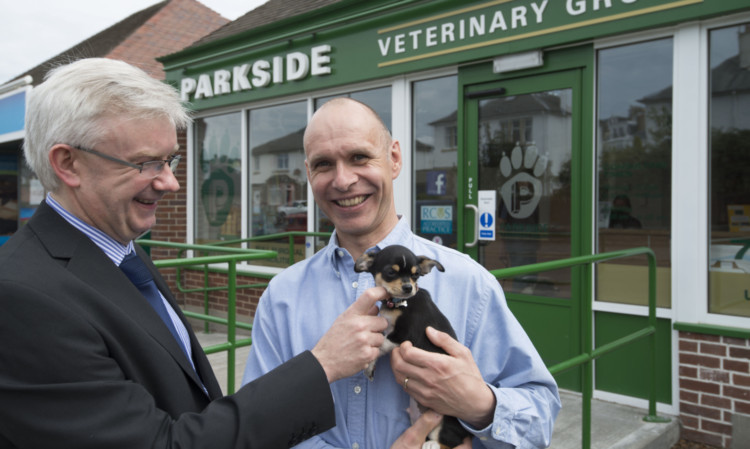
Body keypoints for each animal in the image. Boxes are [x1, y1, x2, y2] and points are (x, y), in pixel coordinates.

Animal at [356, 245, 470, 448]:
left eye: (416, 275)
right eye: (391, 272)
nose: (408, 287)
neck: (398, 304)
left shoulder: (403, 335)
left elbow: (380, 345)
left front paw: (368, 366)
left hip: (448, 422)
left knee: (450, 440)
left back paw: (432, 444)